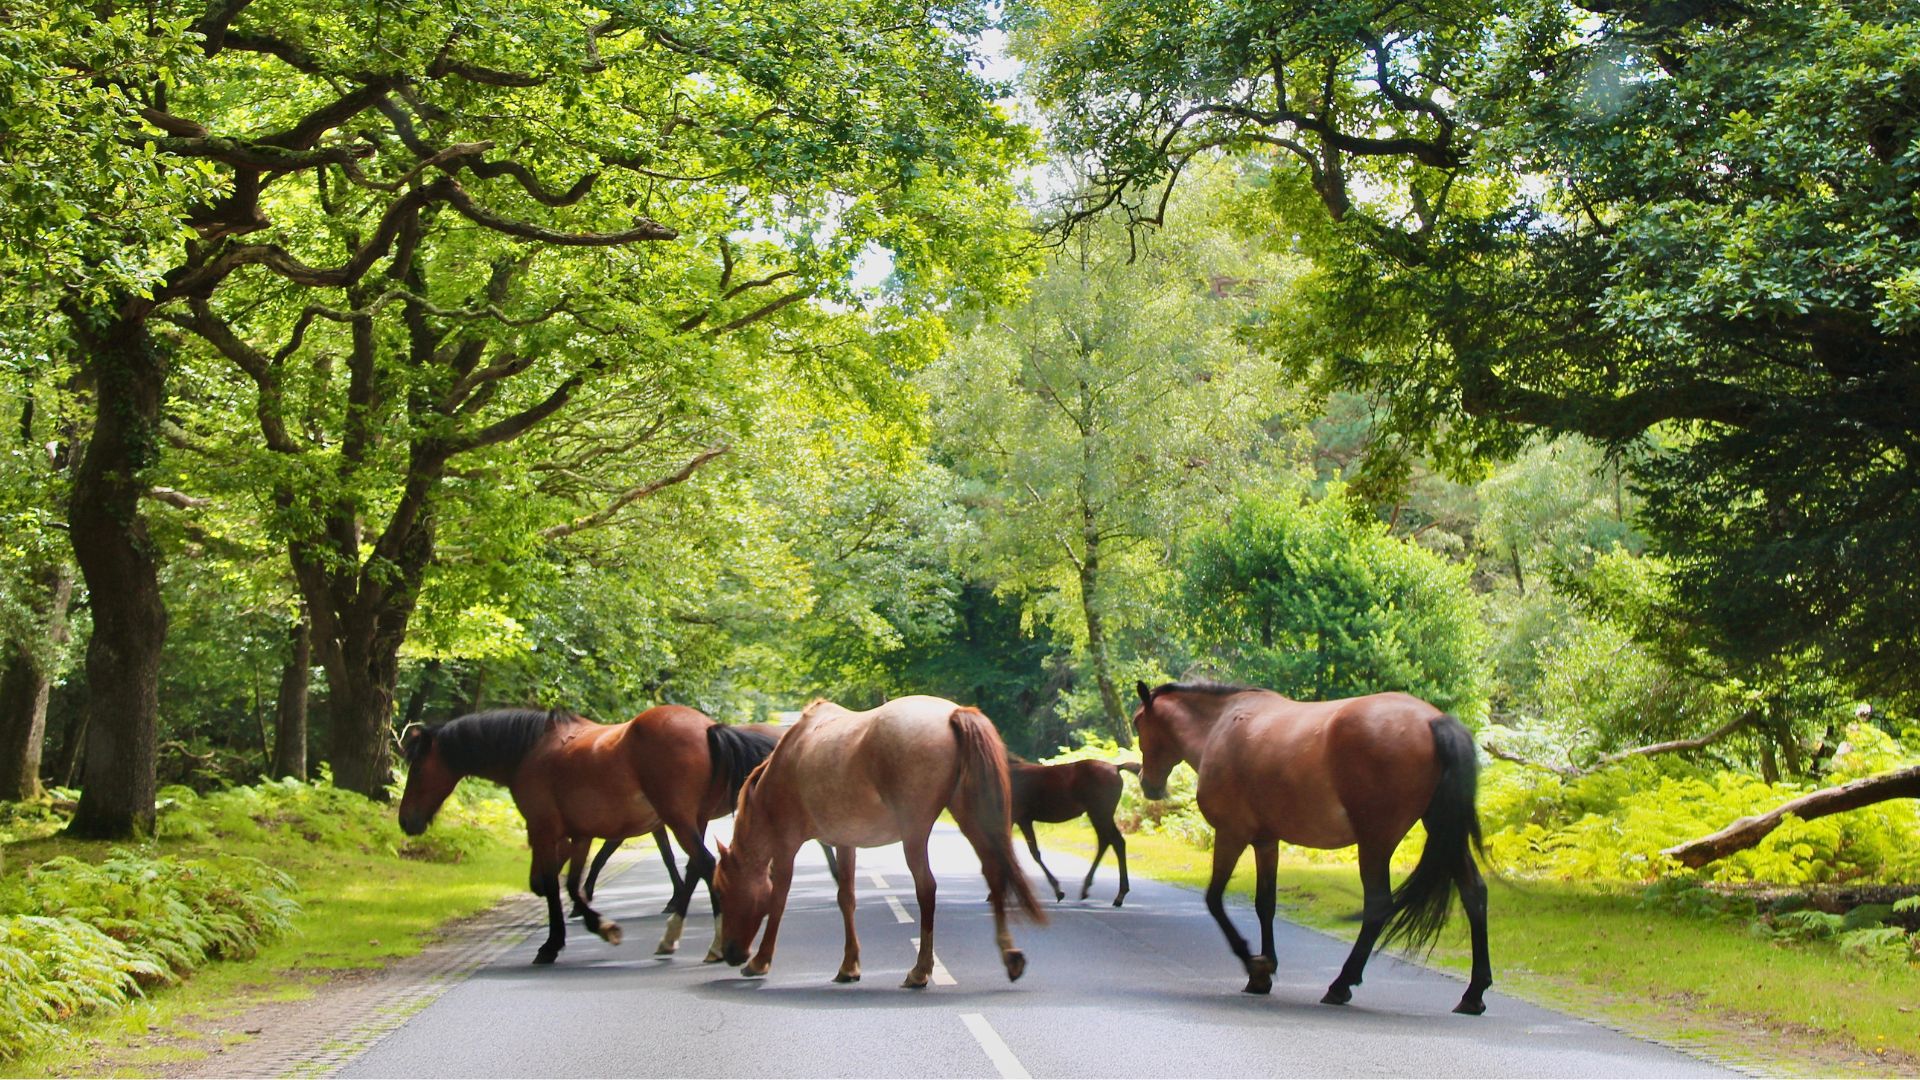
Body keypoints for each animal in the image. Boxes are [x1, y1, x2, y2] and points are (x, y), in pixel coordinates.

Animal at [398, 705, 774, 964]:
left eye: (416, 769)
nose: (406, 821)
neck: (531, 751)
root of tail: (709, 728)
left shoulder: (544, 830)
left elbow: (555, 885)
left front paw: (555, 943)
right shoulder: (580, 836)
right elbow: (573, 883)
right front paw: (599, 925)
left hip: (679, 820)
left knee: (706, 866)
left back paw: (714, 944)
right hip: (692, 820)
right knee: (697, 867)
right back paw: (673, 939)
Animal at [713, 695, 1046, 987]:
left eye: (722, 891)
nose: (730, 952)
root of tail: (954, 713)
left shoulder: (786, 845)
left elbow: (778, 899)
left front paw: (760, 961)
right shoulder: (844, 843)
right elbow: (846, 898)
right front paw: (849, 966)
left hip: (915, 834)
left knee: (927, 888)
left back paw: (920, 971)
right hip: (970, 817)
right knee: (994, 872)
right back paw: (1010, 957)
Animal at [1007, 754, 1139, 906]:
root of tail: (1116, 767)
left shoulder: (1016, 817)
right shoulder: (1023, 819)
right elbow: (1032, 852)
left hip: (1101, 814)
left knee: (1117, 842)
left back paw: (1119, 895)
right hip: (1098, 815)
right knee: (1105, 841)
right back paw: (1087, 889)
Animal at [1130, 680, 1491, 1015]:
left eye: (1138, 725)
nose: (1148, 784)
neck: (1219, 727)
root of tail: (1433, 720)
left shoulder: (1232, 834)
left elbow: (1214, 900)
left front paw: (1255, 965)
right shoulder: (1266, 842)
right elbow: (1265, 904)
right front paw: (1263, 973)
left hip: (1376, 842)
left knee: (1377, 906)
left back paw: (1341, 984)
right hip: (1443, 832)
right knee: (1474, 893)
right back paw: (1473, 994)